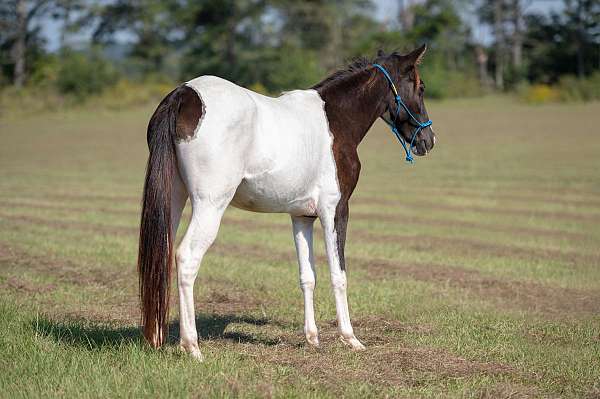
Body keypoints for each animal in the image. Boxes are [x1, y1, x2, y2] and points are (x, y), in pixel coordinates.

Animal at [136, 45, 436, 360]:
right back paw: (191, 346)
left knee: (162, 254)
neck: (334, 121)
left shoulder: (302, 217)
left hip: (173, 199)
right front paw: (350, 338)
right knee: (186, 257)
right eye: (421, 87)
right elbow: (338, 274)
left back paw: (156, 337)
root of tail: (183, 94)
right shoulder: (335, 210)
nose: (428, 140)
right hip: (209, 205)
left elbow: (308, 275)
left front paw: (312, 338)